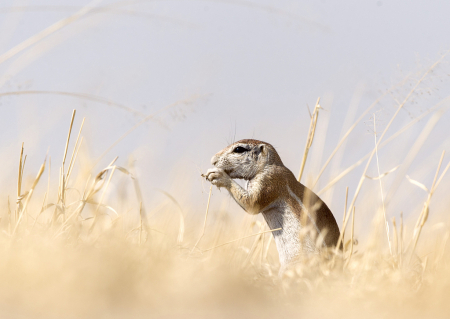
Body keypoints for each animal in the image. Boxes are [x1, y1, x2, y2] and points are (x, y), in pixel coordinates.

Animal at [205, 139, 342, 272]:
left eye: (238, 149)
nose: (213, 160)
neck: (269, 165)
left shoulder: (269, 181)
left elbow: (252, 203)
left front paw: (219, 176)